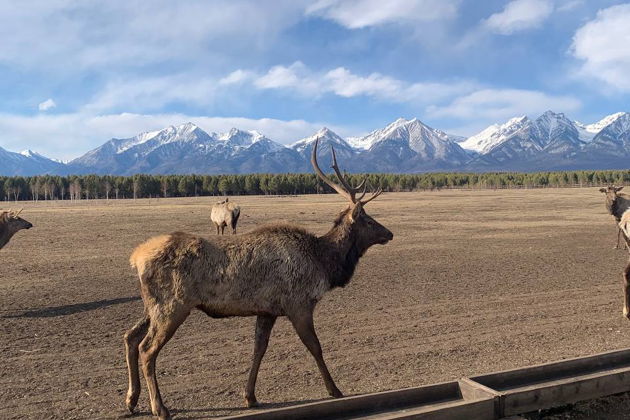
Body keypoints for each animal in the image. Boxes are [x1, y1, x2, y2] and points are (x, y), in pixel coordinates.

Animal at [122, 139, 396, 418]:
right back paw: (159, 407)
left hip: (152, 306)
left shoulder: (267, 310)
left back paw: (131, 400)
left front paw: (250, 396)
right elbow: (314, 346)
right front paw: (335, 390)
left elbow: (259, 349)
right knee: (147, 348)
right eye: (368, 220)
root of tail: (136, 257)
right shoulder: (298, 304)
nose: (389, 233)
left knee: (130, 337)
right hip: (173, 305)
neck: (324, 264)